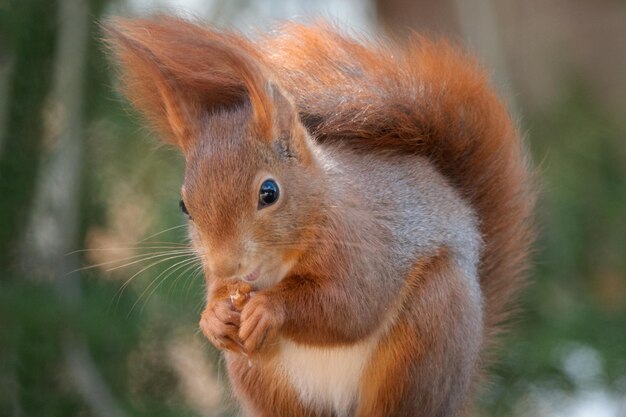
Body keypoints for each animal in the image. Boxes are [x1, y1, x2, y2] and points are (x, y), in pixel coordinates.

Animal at [105, 14, 532, 416]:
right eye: (185, 206)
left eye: (269, 192)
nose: (227, 265)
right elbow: (219, 295)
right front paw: (214, 317)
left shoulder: (366, 244)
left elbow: (350, 305)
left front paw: (268, 308)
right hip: (265, 381)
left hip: (428, 335)